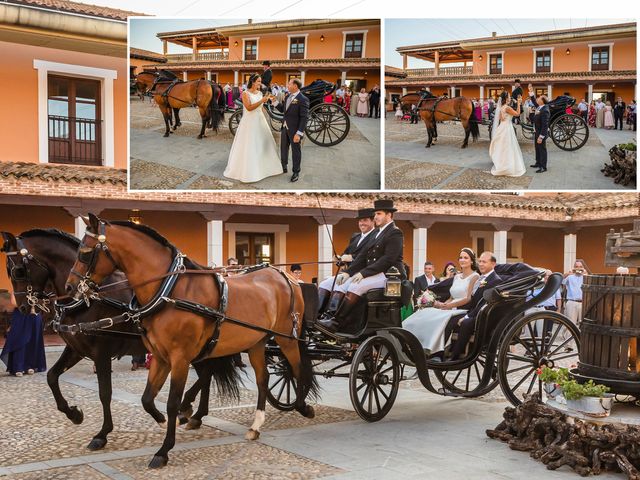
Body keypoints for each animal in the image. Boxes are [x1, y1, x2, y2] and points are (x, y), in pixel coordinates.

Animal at [1, 231, 239, 452]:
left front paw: (102, 434)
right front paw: (74, 414)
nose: (23, 307)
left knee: (206, 374)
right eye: (9, 271)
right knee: (207, 375)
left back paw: (187, 408)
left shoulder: (101, 353)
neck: (87, 300)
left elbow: (105, 393)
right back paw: (195, 414)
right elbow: (51, 377)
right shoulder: (76, 349)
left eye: (18, 270)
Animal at [63, 215, 318, 468]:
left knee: (297, 370)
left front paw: (164, 450)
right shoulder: (160, 357)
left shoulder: (180, 358)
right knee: (263, 378)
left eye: (84, 252)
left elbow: (172, 402)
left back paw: (303, 407)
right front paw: (164, 421)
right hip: (256, 342)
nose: (69, 287)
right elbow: (147, 399)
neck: (168, 291)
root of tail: (285, 276)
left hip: (286, 338)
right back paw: (255, 425)